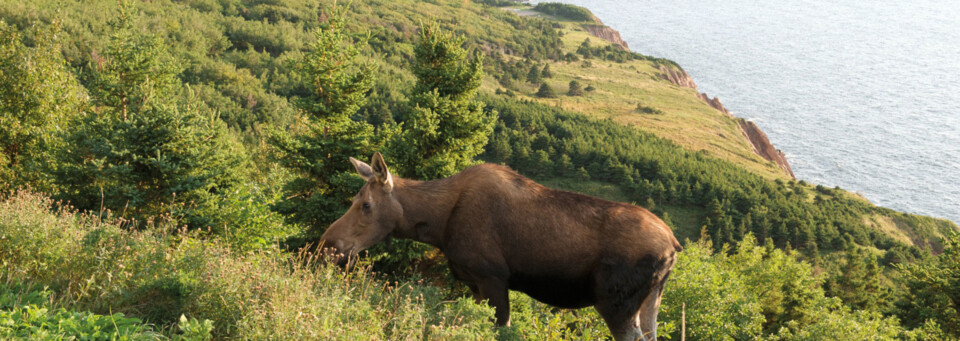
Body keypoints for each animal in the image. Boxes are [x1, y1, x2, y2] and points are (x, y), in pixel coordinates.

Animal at [322, 152, 684, 340]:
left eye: (366, 205)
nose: (329, 244)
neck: (438, 225)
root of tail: (673, 246)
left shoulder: (492, 277)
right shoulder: (473, 284)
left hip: (615, 302)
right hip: (650, 300)